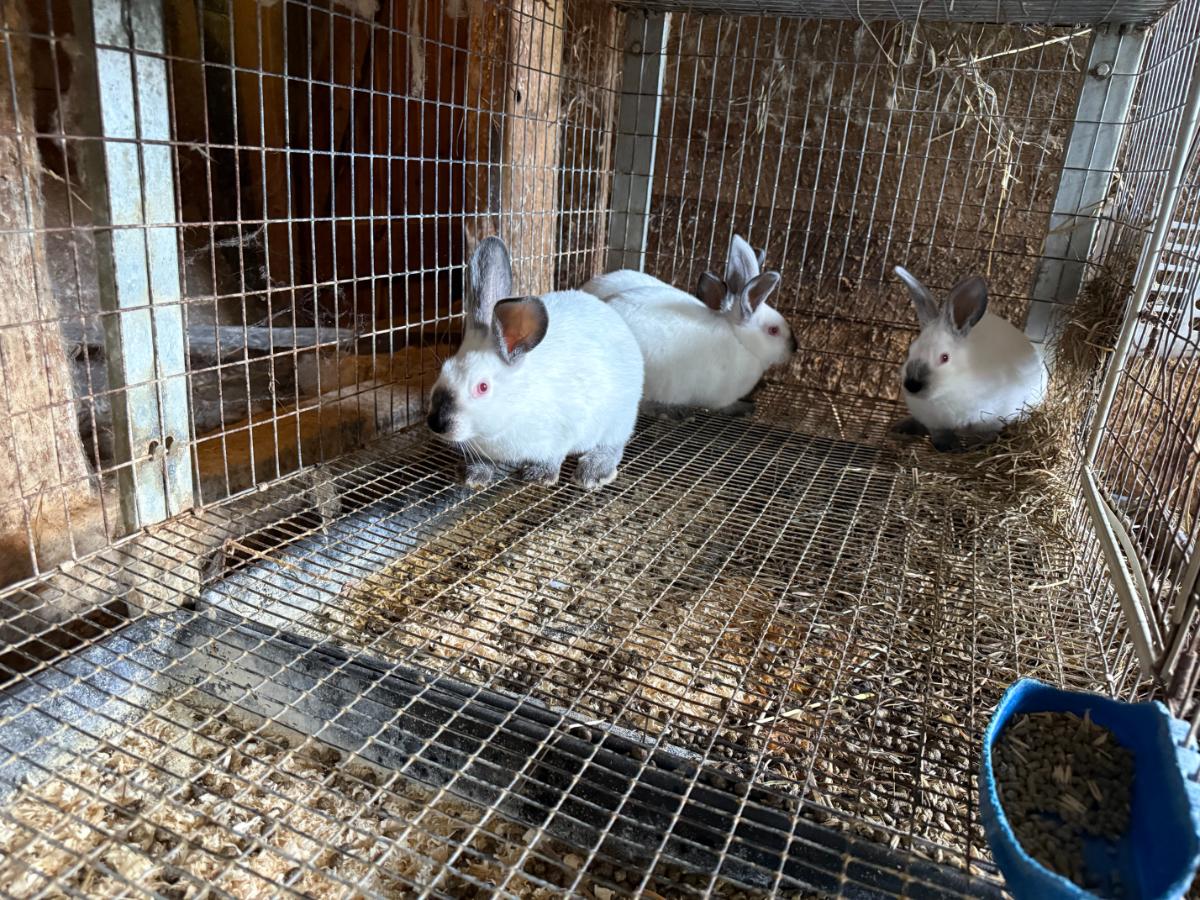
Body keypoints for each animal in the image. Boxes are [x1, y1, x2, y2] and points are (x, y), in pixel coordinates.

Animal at [427, 236, 644, 490]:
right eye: (444, 369)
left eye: (482, 387)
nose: (436, 423)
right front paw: (473, 474)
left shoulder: (565, 430)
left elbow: (554, 456)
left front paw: (540, 475)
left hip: (619, 420)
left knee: (613, 446)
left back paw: (593, 471)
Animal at [584, 235, 795, 416]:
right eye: (773, 330)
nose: (795, 347)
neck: (741, 342)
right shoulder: (721, 396)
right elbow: (724, 406)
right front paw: (741, 407)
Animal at [891, 266, 1049, 452]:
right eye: (910, 350)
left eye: (945, 357)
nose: (912, 385)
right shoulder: (935, 423)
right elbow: (941, 436)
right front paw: (949, 447)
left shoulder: (989, 422)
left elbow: (982, 437)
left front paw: (971, 449)